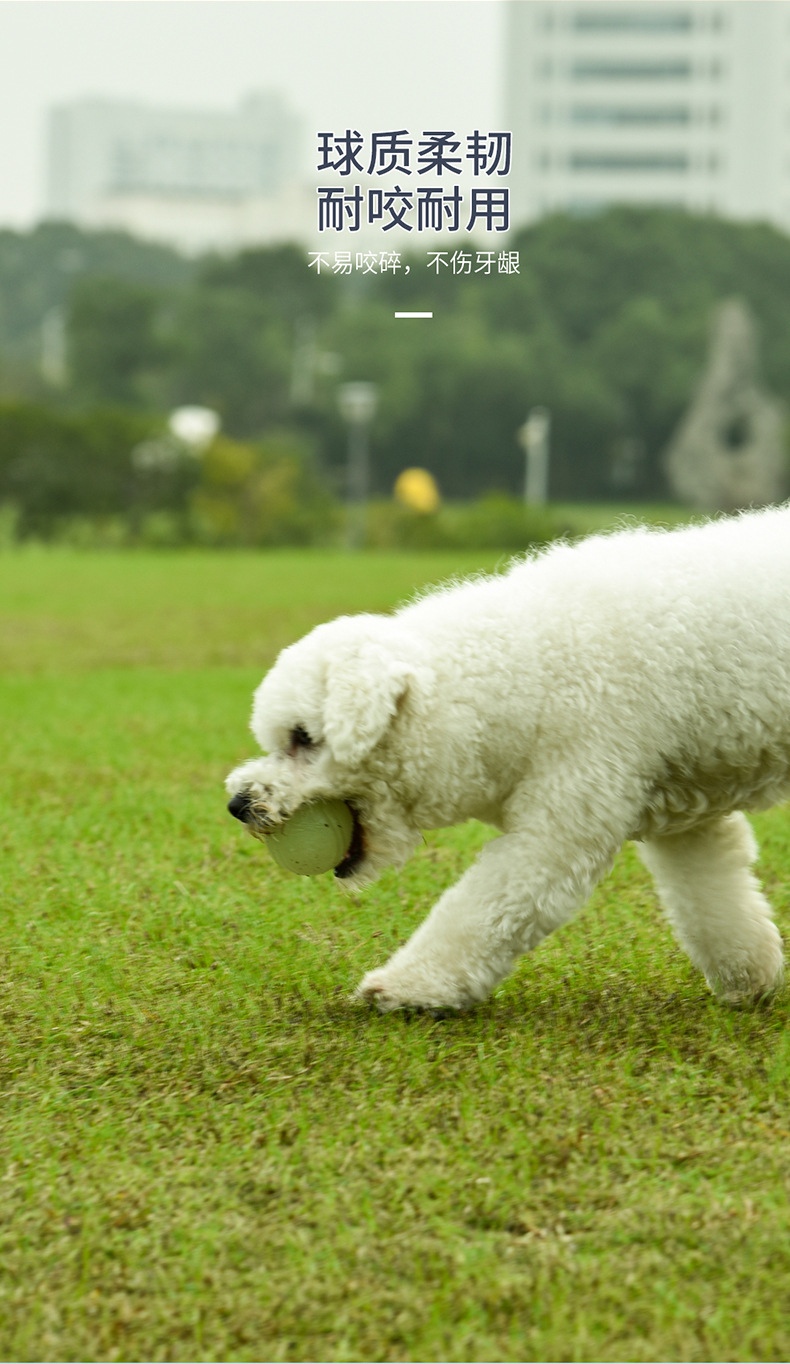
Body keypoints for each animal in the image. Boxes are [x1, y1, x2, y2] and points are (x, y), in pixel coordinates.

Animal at [226, 505, 789, 1013]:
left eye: (303, 737)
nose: (239, 803)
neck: (521, 673)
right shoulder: (686, 827)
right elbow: (714, 901)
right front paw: (749, 978)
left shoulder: (559, 832)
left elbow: (483, 910)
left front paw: (410, 986)